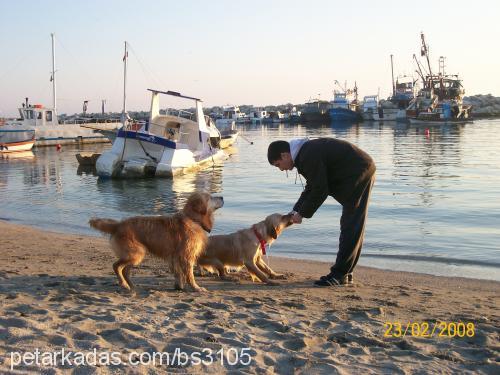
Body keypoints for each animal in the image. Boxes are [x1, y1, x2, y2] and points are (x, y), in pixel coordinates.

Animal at [89, 192, 224, 292]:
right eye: (210, 197)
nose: (222, 197)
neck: (193, 219)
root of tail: (118, 225)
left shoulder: (175, 256)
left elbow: (178, 273)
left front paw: (179, 286)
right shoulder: (186, 256)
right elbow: (189, 275)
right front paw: (196, 288)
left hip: (135, 254)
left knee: (125, 270)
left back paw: (131, 285)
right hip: (136, 253)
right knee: (116, 266)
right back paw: (123, 284)